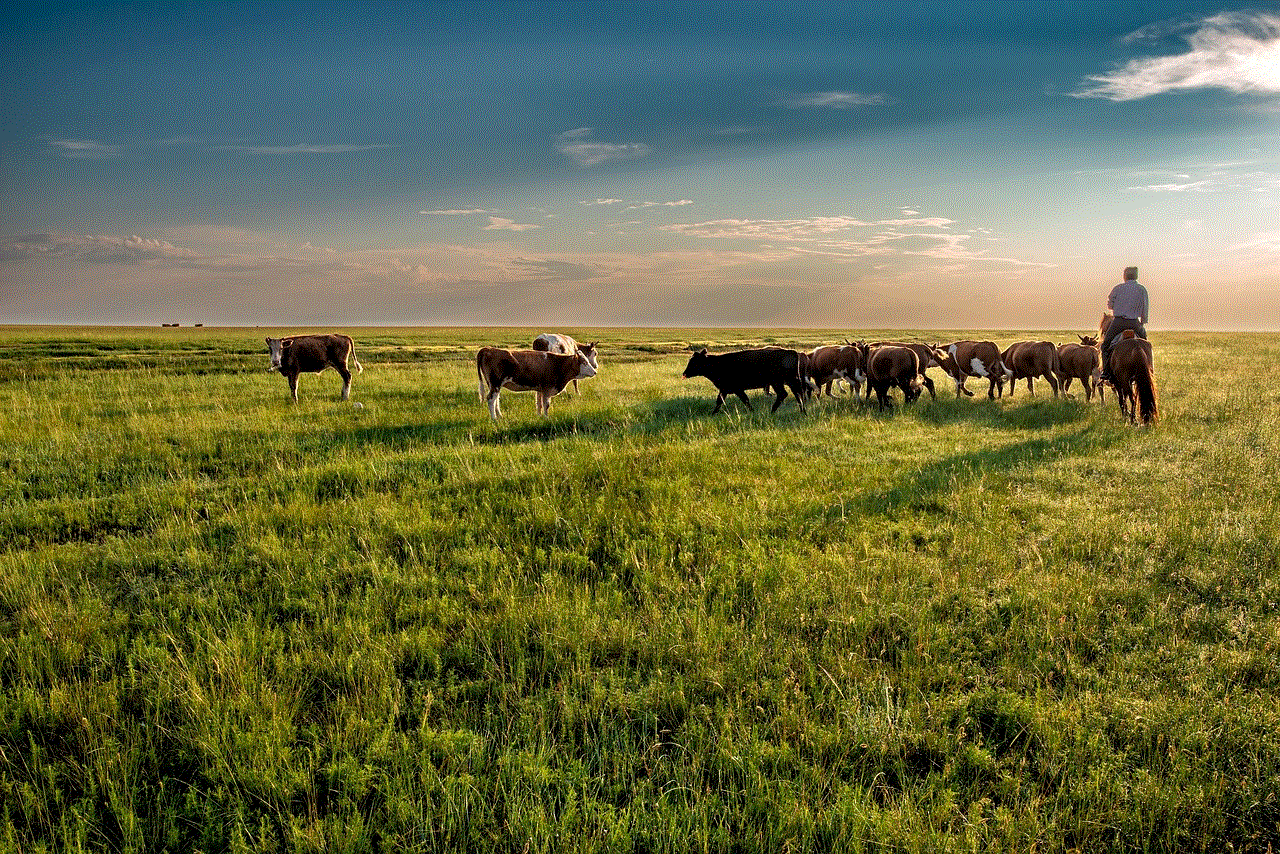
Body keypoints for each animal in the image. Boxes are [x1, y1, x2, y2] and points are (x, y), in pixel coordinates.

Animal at [680, 348, 808, 414]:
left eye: (694, 362)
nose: (684, 373)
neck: (717, 364)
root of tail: (792, 352)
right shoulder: (725, 389)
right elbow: (720, 401)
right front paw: (713, 413)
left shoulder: (736, 389)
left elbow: (745, 400)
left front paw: (752, 411)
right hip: (789, 382)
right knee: (797, 394)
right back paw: (802, 411)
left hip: (778, 382)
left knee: (784, 394)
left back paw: (772, 411)